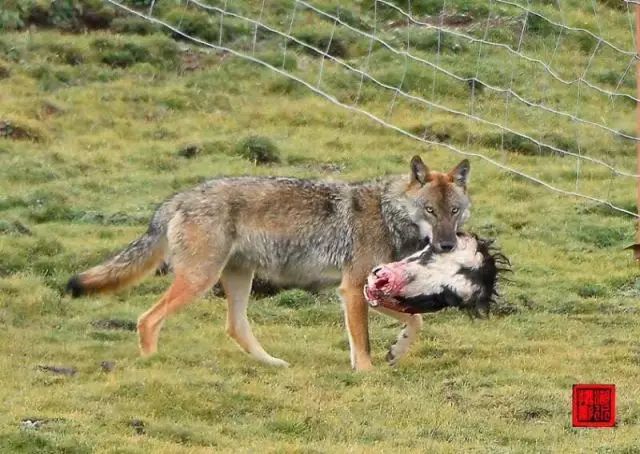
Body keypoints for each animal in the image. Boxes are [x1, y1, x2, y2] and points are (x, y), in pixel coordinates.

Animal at [66, 155, 470, 368]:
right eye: (430, 211)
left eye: (454, 211)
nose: (448, 245)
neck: (388, 214)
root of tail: (178, 197)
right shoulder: (353, 288)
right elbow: (363, 342)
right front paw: (367, 373)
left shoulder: (367, 288)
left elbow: (416, 321)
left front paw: (397, 349)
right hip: (199, 279)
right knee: (147, 319)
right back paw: (152, 365)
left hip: (237, 279)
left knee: (235, 327)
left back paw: (273, 364)